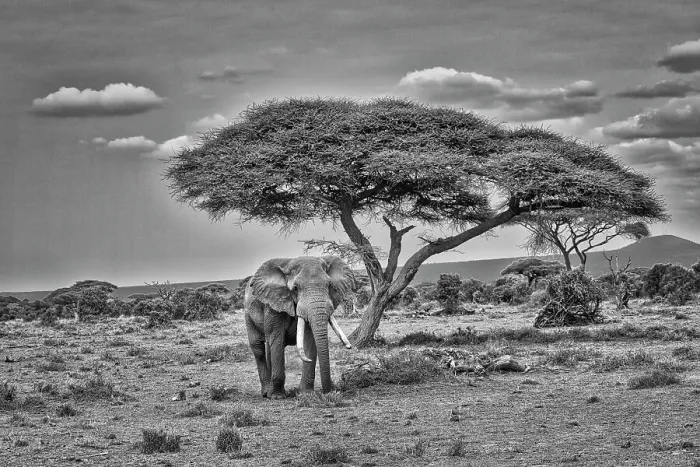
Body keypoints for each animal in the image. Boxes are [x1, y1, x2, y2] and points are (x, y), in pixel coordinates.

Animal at [244, 256, 355, 399]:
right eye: (295, 288)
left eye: (329, 285)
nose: (329, 391)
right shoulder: (273, 304)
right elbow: (277, 339)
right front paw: (278, 397)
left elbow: (309, 339)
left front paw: (306, 394)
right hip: (248, 315)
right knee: (258, 348)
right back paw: (266, 393)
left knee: (268, 346)